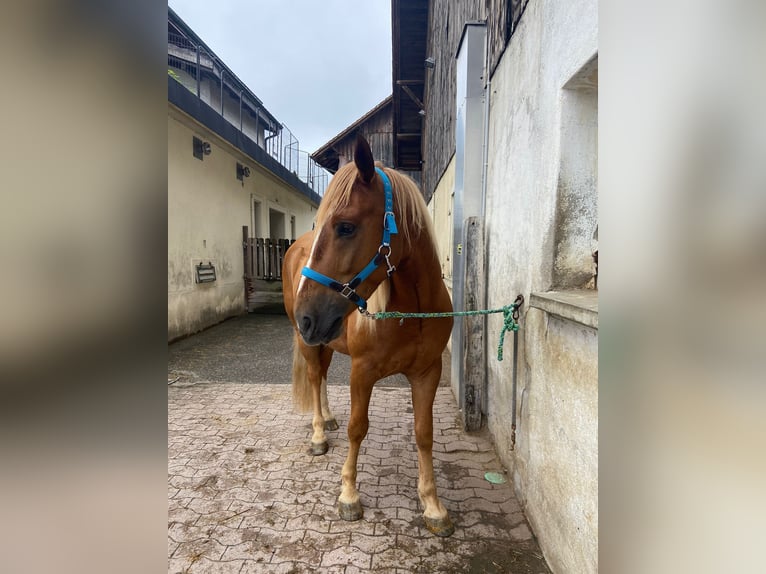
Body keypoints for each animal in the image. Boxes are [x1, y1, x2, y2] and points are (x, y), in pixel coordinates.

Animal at [284, 133, 456, 536]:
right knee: (314, 377)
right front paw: (349, 495)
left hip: (326, 339)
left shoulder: (428, 373)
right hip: (309, 343)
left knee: (322, 376)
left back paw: (327, 418)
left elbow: (424, 433)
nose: (306, 316)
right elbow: (356, 428)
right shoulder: (362, 373)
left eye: (345, 227)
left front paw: (433, 505)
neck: (412, 312)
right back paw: (319, 433)